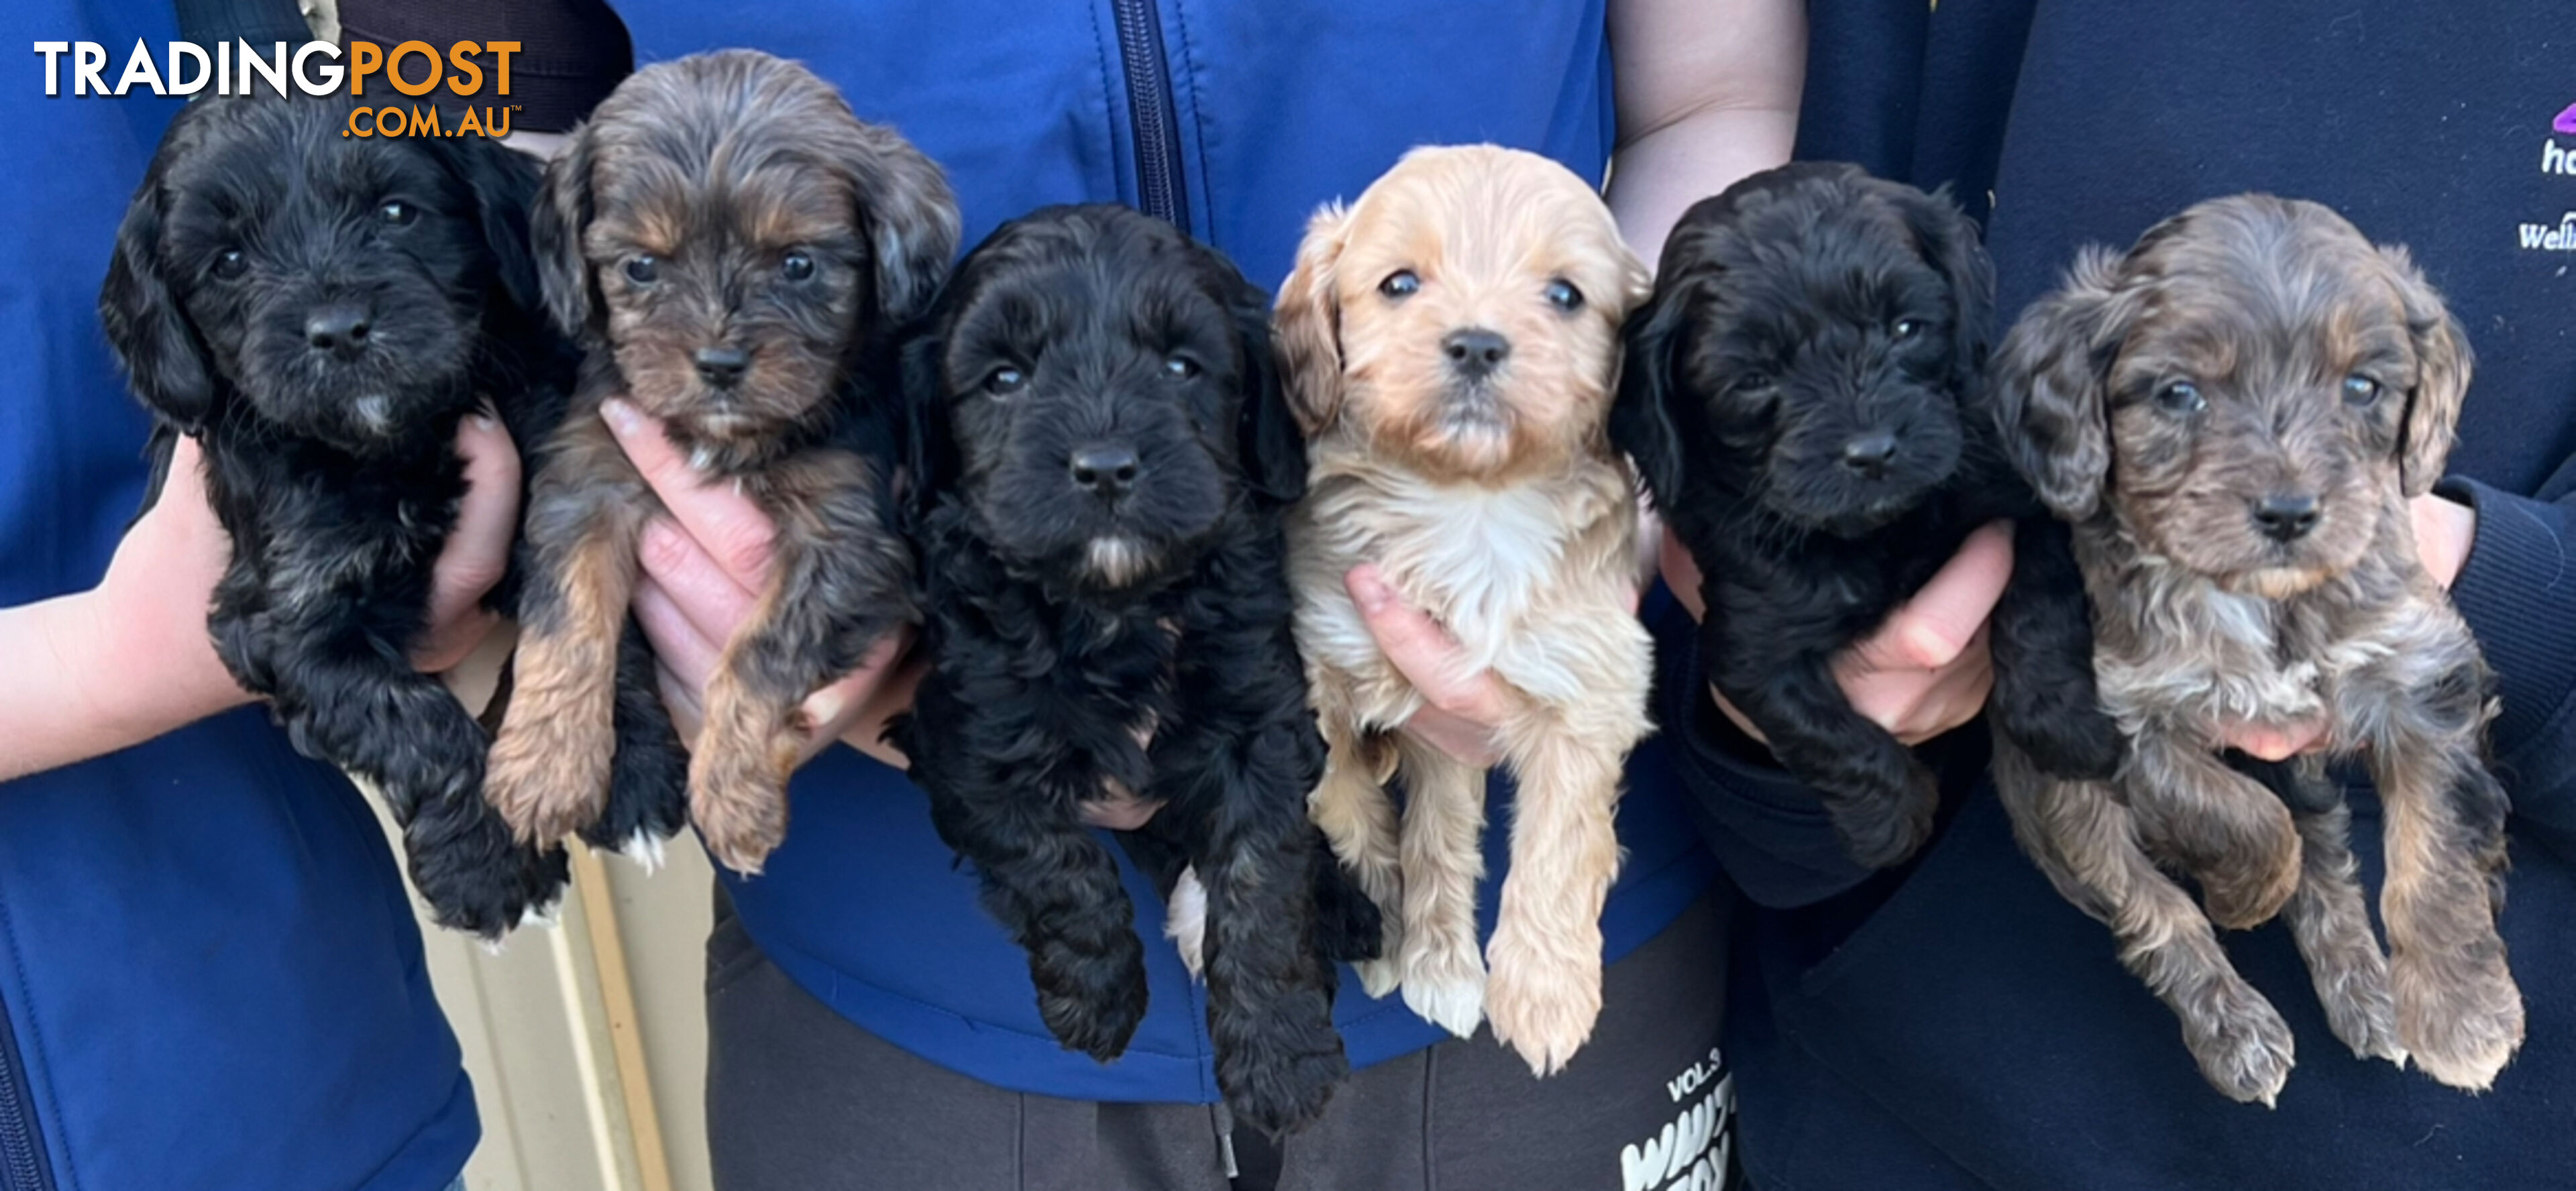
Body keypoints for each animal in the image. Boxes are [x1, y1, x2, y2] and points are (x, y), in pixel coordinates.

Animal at [99, 91, 569, 941]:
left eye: (396, 211)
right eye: (228, 262)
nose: (340, 329)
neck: (396, 442)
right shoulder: (290, 617)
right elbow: (415, 720)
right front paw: (484, 865)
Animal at [896, 205, 1360, 1137]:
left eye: (1183, 366)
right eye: (1003, 378)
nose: (1105, 466)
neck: (1114, 608)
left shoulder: (1260, 722)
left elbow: (1260, 880)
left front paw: (1281, 1057)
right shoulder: (970, 740)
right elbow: (1050, 862)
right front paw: (1096, 999)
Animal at [1277, 144, 1658, 1075]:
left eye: (1565, 294)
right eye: (1400, 283)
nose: (1479, 342)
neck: (1470, 508)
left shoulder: (1594, 686)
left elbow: (1559, 845)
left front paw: (1547, 996)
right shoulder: (1320, 669)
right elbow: (1345, 806)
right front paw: (1377, 921)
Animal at [1617, 163, 2123, 869]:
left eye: (1906, 328)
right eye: (1752, 379)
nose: (1874, 451)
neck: (1883, 529)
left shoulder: (2028, 499)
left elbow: (2039, 605)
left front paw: (2066, 726)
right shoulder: (1750, 641)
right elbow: (1825, 735)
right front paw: (1890, 821)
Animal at [1988, 192, 2514, 1100]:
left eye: (2362, 387)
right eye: (2179, 394)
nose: (2290, 512)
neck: (2261, 601)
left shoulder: (2415, 673)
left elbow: (2434, 845)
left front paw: (2461, 1012)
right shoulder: (2120, 718)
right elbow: (2241, 818)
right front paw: (2243, 896)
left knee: (2329, 865)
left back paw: (2368, 993)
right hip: (2058, 801)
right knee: (2156, 911)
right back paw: (2235, 1027)